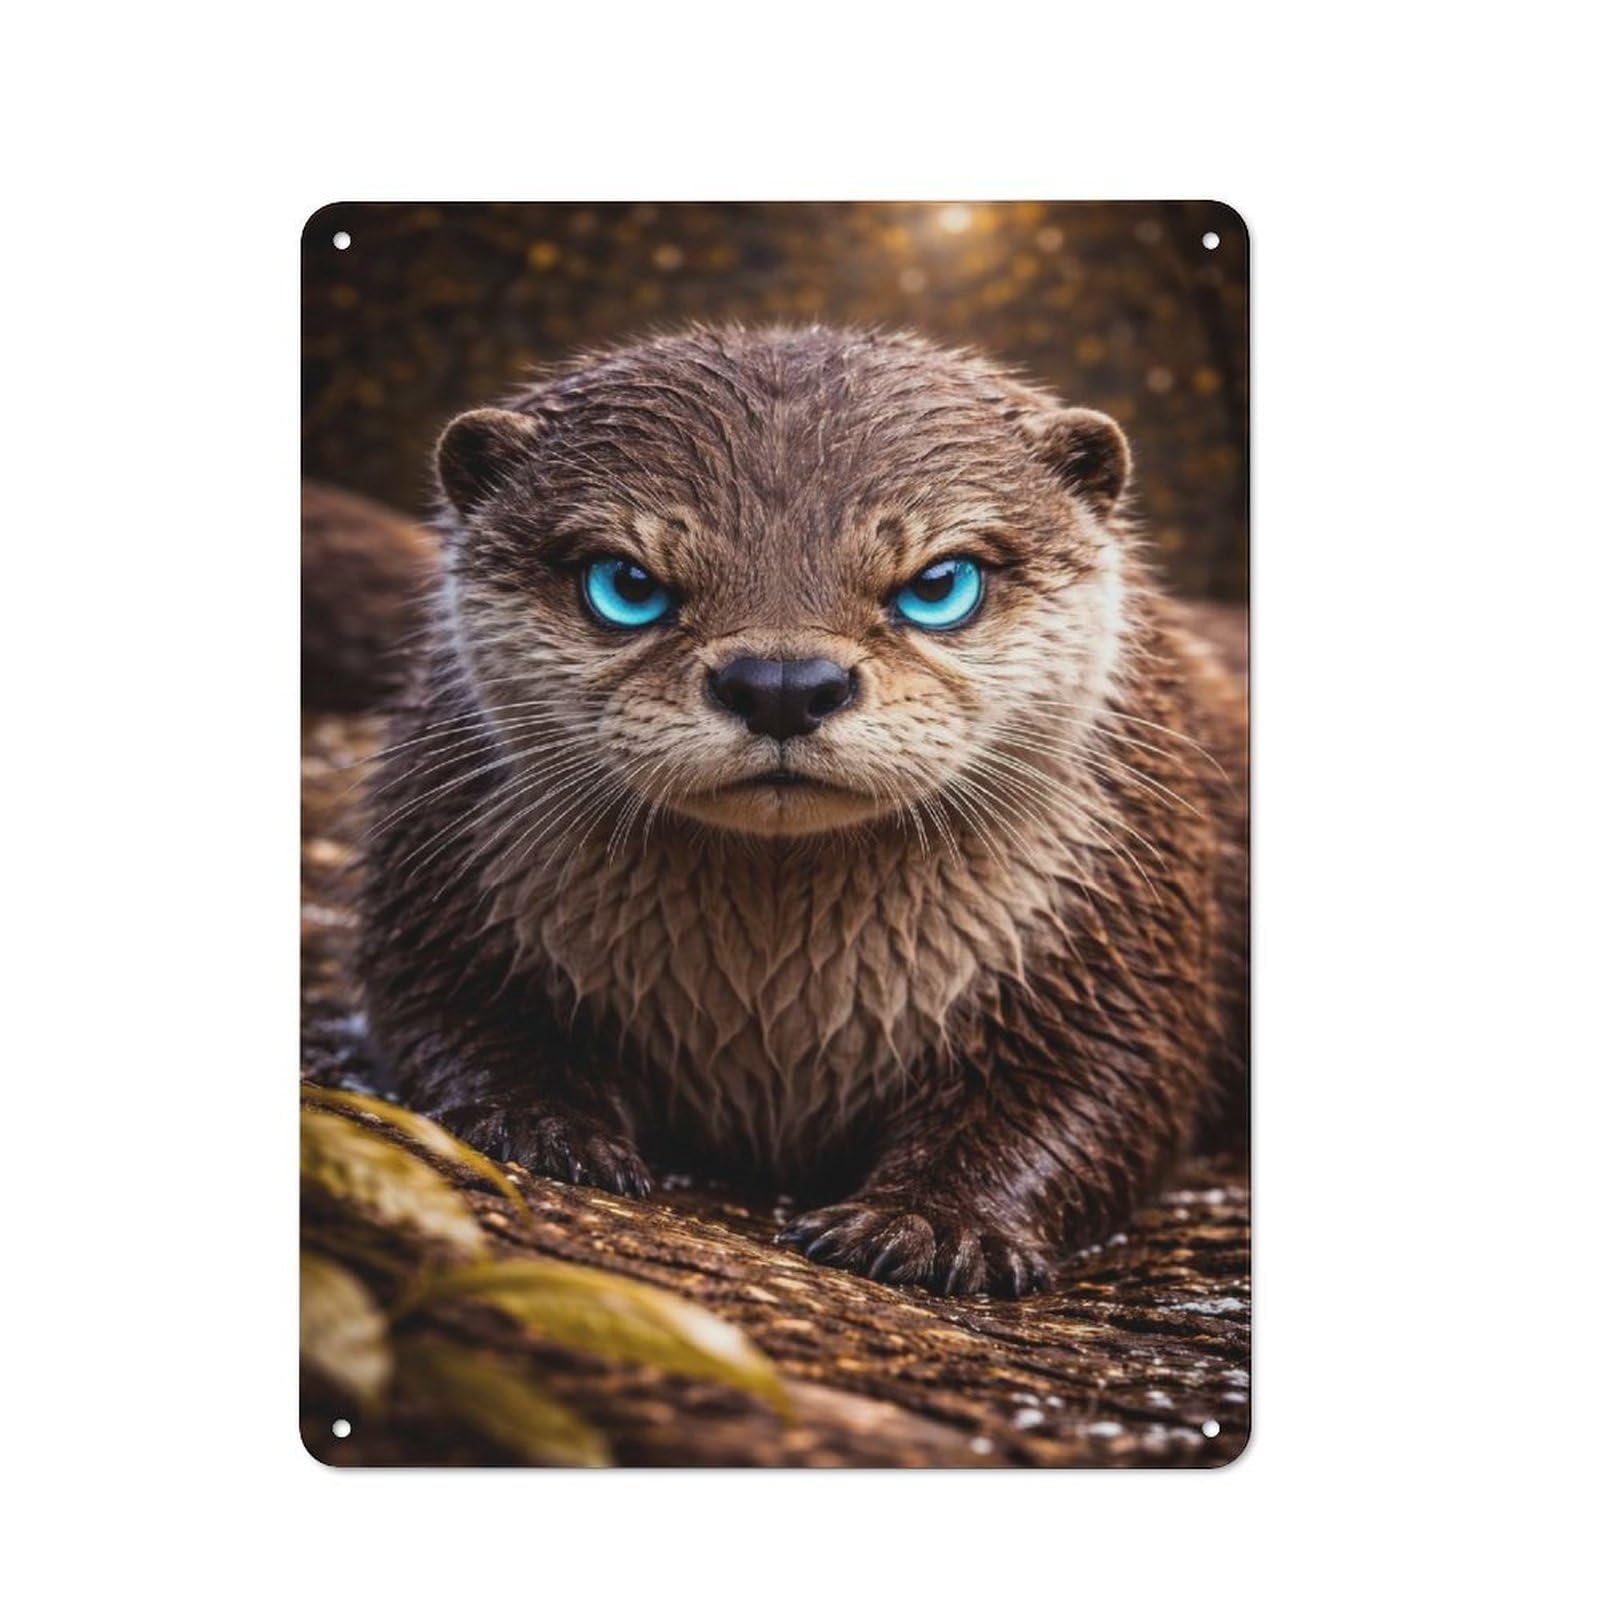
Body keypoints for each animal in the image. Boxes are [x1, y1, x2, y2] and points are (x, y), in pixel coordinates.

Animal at [356, 325, 1247, 1298]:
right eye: (625, 584)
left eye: (940, 585)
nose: (781, 684)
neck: (778, 1029)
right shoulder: (445, 871)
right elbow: (439, 1012)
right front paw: (538, 1126)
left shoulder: (1122, 916)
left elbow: (1108, 1085)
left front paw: (931, 1223)